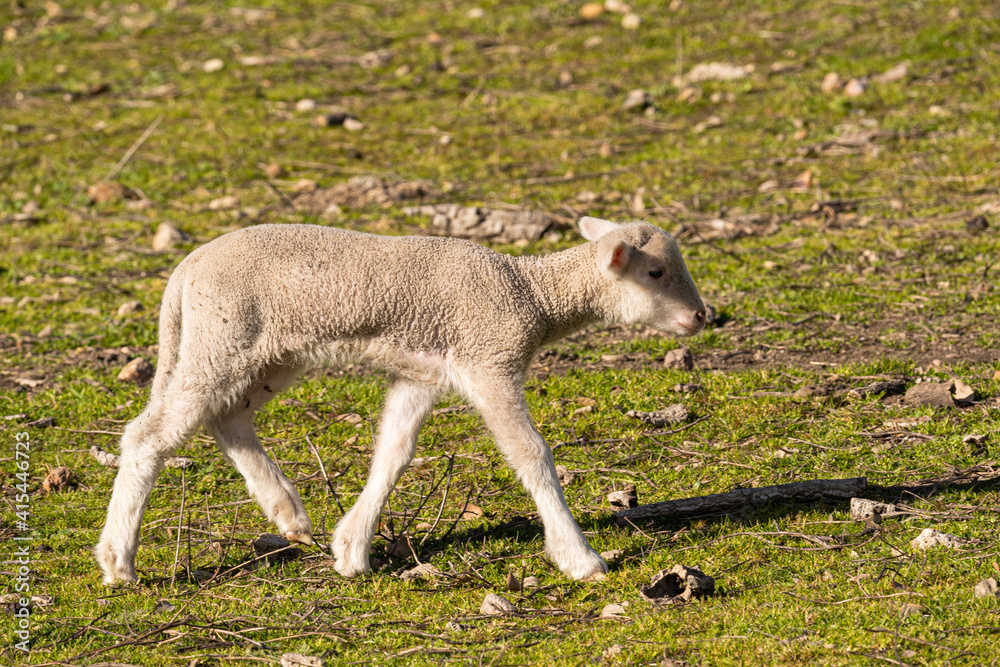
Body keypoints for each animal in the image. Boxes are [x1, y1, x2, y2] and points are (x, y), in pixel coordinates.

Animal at [94, 216, 705, 584]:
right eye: (655, 272)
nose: (703, 316)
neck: (530, 294)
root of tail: (184, 272)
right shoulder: (489, 359)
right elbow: (531, 454)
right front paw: (580, 557)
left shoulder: (421, 374)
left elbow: (393, 453)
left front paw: (351, 549)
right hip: (223, 337)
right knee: (150, 434)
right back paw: (119, 560)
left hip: (262, 351)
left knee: (227, 417)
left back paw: (288, 512)